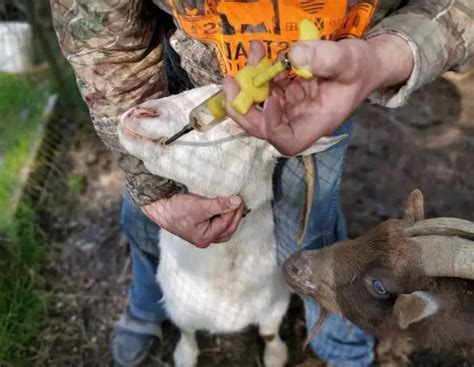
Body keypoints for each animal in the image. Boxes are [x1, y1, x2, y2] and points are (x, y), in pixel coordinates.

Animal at [117, 85, 348, 366]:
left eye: (237, 124)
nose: (140, 113)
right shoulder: (179, 307)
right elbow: (187, 335)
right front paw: (184, 354)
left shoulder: (274, 305)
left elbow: (269, 335)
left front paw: (275, 355)